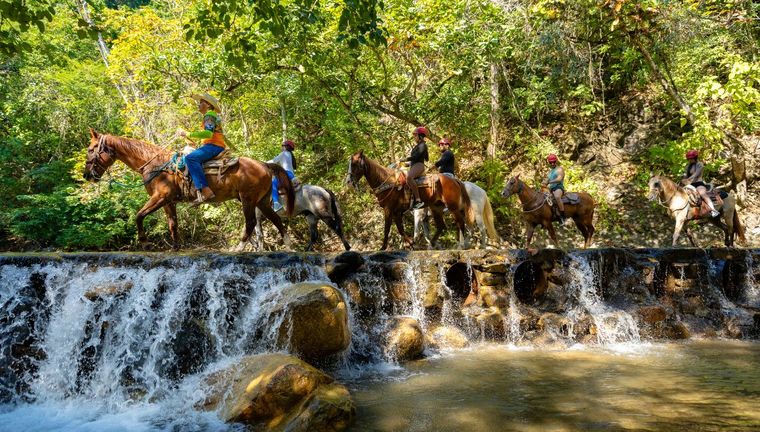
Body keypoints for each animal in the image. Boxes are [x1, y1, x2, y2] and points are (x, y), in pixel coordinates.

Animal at [83, 129, 295, 250]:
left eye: (91, 149)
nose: (86, 175)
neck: (156, 165)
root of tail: (264, 165)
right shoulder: (168, 201)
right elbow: (172, 224)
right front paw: (176, 247)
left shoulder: (160, 197)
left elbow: (139, 215)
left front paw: (144, 242)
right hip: (261, 200)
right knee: (276, 219)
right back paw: (289, 246)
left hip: (248, 199)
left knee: (250, 222)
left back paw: (239, 248)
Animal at [346, 150, 474, 250]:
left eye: (354, 164)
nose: (348, 181)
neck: (388, 182)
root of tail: (454, 180)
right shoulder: (397, 212)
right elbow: (400, 230)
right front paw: (412, 244)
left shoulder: (388, 210)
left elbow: (387, 229)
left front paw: (383, 247)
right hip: (436, 208)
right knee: (442, 226)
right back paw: (433, 243)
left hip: (453, 207)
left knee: (461, 223)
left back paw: (463, 244)